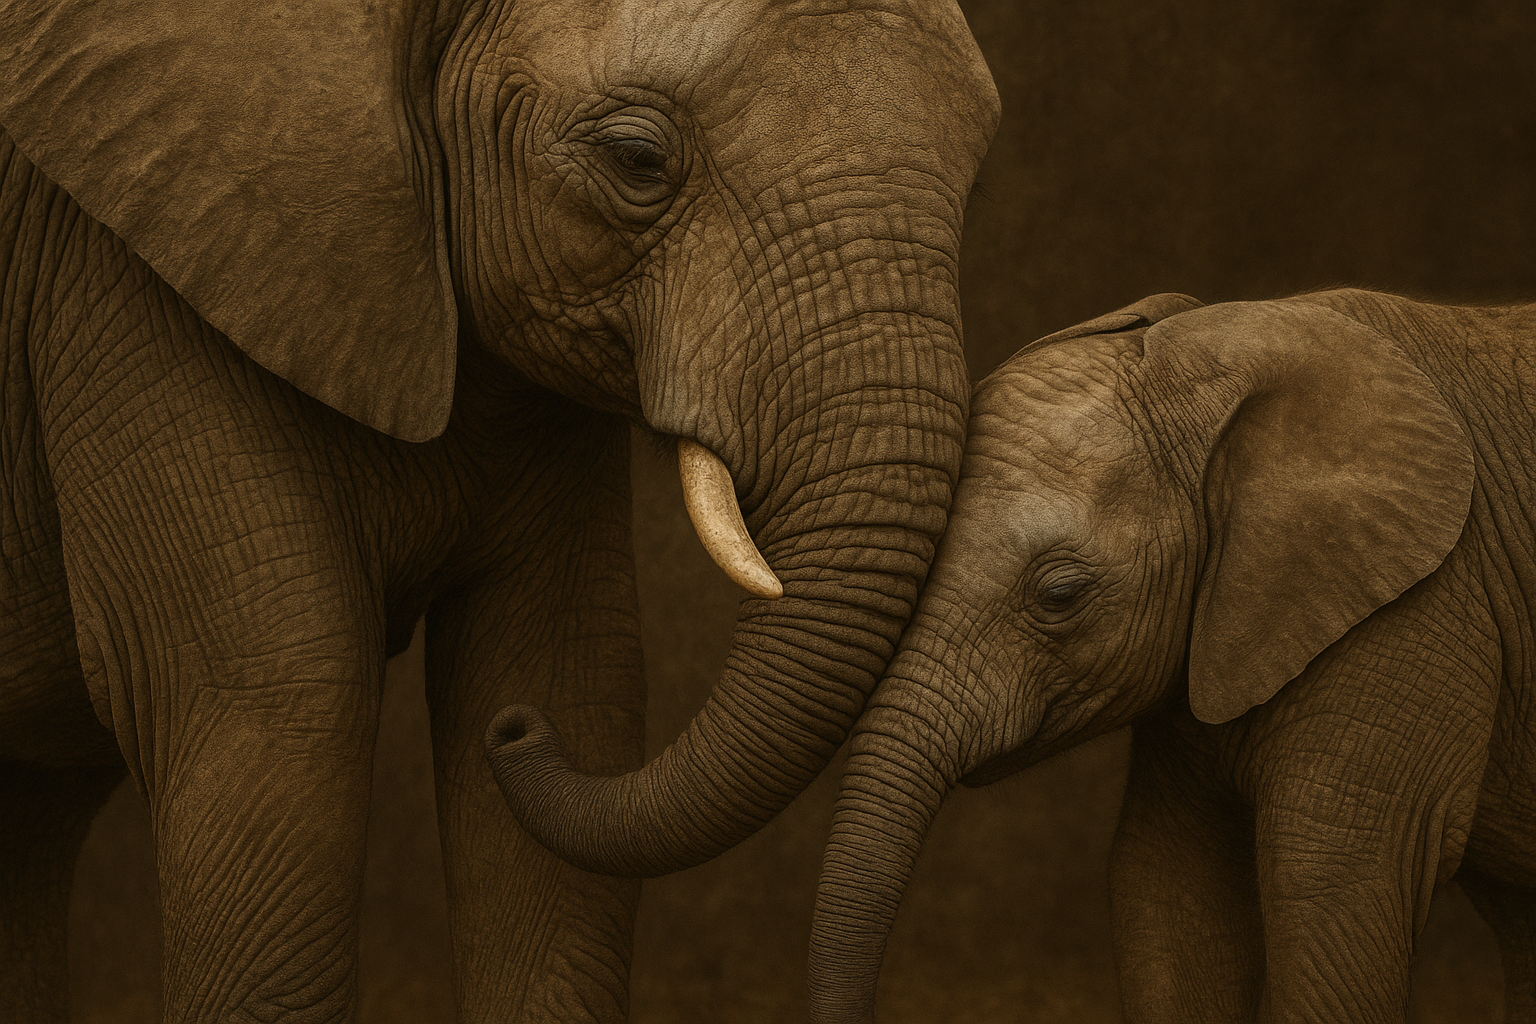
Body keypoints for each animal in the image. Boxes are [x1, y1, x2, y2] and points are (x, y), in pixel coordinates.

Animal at [0, 0, 1000, 1019]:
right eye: (638, 159)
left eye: (975, 170)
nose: (515, 737)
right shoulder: (132, 288)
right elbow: (284, 707)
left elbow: (565, 671)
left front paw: (518, 710)